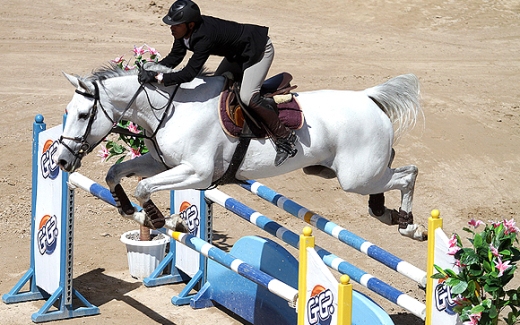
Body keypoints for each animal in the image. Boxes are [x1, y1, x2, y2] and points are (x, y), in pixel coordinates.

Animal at [57, 64, 428, 239]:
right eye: (69, 111)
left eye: (82, 115)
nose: (60, 161)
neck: (169, 109)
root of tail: (368, 97)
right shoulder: (162, 163)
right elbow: (116, 174)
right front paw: (129, 210)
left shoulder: (198, 173)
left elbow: (143, 187)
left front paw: (167, 220)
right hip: (354, 172)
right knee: (393, 170)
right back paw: (382, 211)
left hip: (356, 177)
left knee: (408, 174)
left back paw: (409, 227)